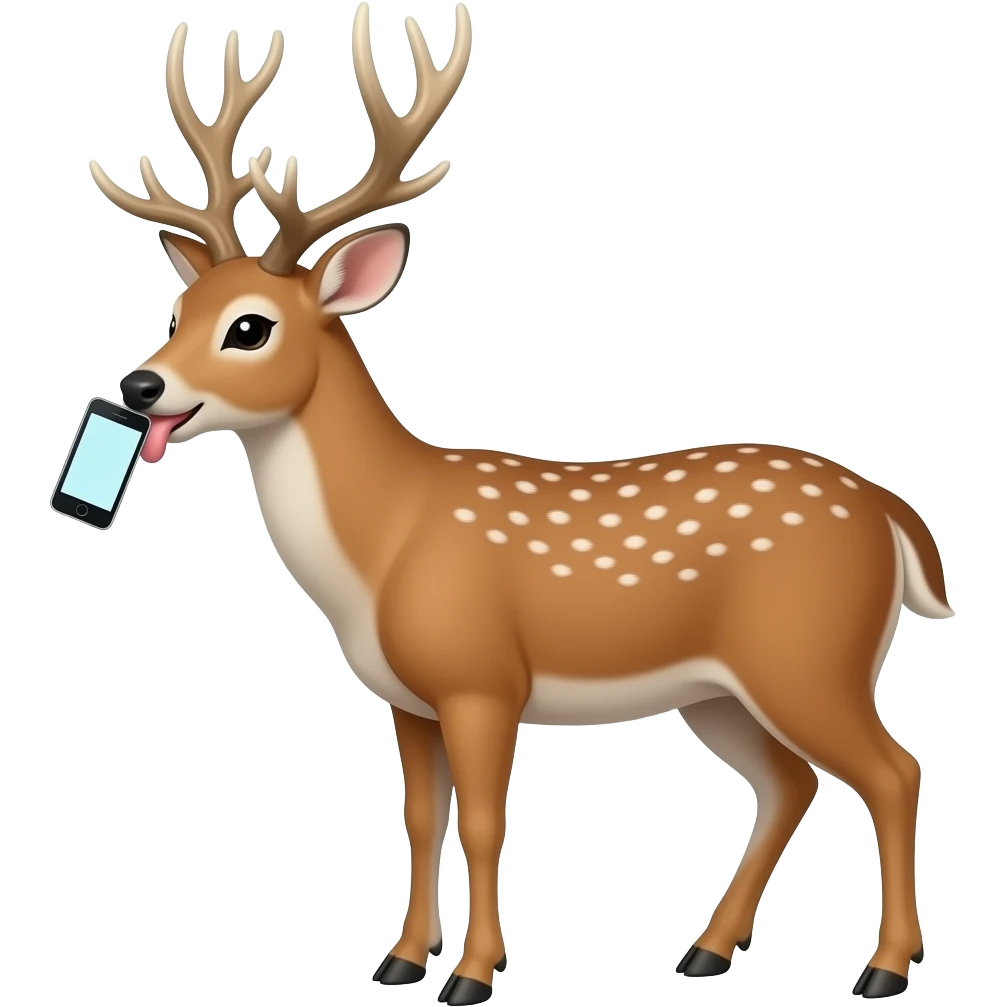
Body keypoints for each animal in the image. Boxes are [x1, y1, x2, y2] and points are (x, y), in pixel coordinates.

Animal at [87, 6, 951, 1003]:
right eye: (180, 307)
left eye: (250, 327)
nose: (139, 385)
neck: (383, 545)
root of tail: (890, 512)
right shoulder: (405, 697)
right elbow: (421, 819)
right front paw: (399, 960)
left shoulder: (481, 677)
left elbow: (485, 821)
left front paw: (472, 973)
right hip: (721, 690)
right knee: (789, 782)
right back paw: (704, 950)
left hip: (809, 654)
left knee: (892, 770)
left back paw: (882, 967)